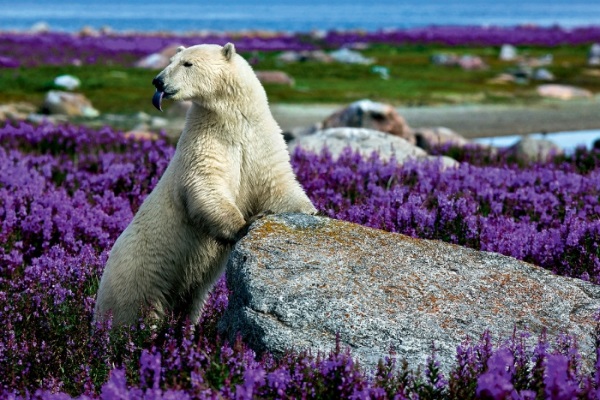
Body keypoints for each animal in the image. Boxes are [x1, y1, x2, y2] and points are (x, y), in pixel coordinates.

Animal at [93, 42, 316, 326]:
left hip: (188, 290)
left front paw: (311, 210)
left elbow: (277, 183)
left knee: (189, 306)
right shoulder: (205, 141)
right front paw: (245, 225)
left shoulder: (260, 141)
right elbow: (206, 184)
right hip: (138, 278)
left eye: (187, 63)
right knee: (133, 316)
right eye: (171, 60)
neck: (232, 121)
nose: (158, 81)